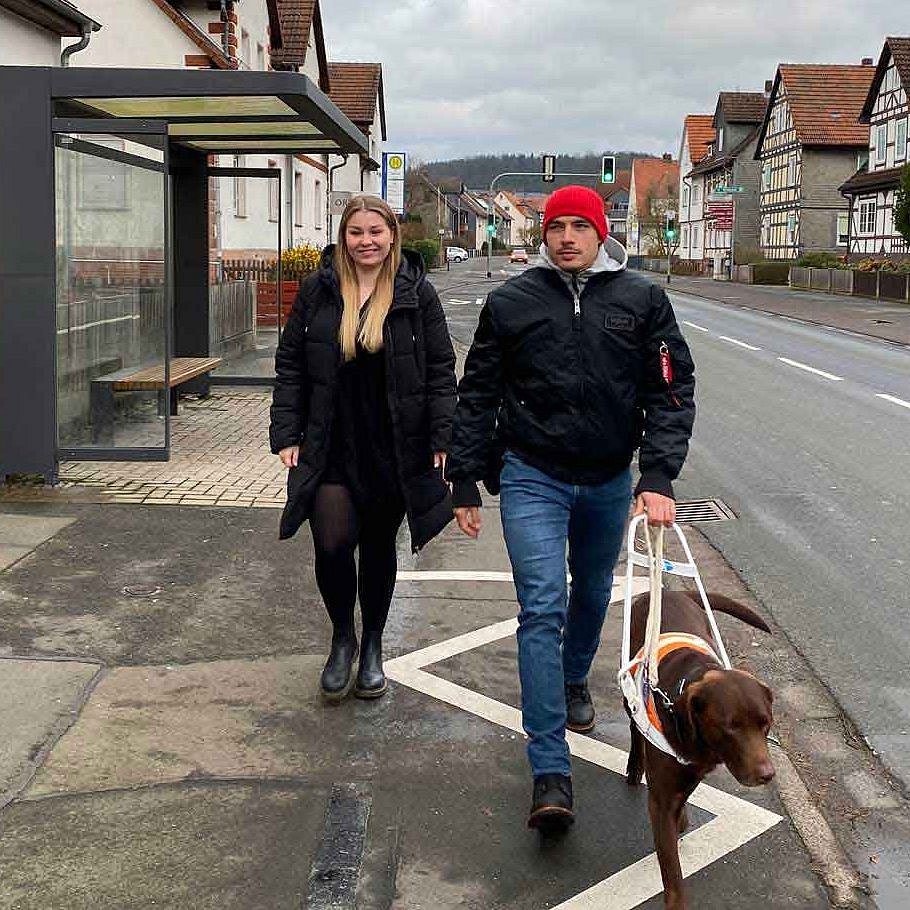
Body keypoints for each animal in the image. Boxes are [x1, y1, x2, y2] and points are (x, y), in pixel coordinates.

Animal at [628, 592, 776, 910]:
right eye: (730, 727)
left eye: (765, 723)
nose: (767, 775)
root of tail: (669, 591)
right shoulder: (660, 802)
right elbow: (672, 875)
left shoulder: (693, 769)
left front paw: (682, 817)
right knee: (634, 728)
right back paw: (634, 766)